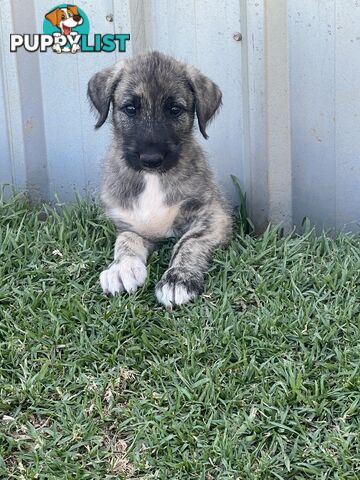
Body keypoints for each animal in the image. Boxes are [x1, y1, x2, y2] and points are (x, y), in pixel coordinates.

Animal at [88, 51, 232, 308]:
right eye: (130, 108)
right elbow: (125, 239)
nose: (151, 159)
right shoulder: (133, 223)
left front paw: (178, 279)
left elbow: (189, 242)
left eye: (175, 109)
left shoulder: (214, 216)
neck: (152, 180)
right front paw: (121, 268)